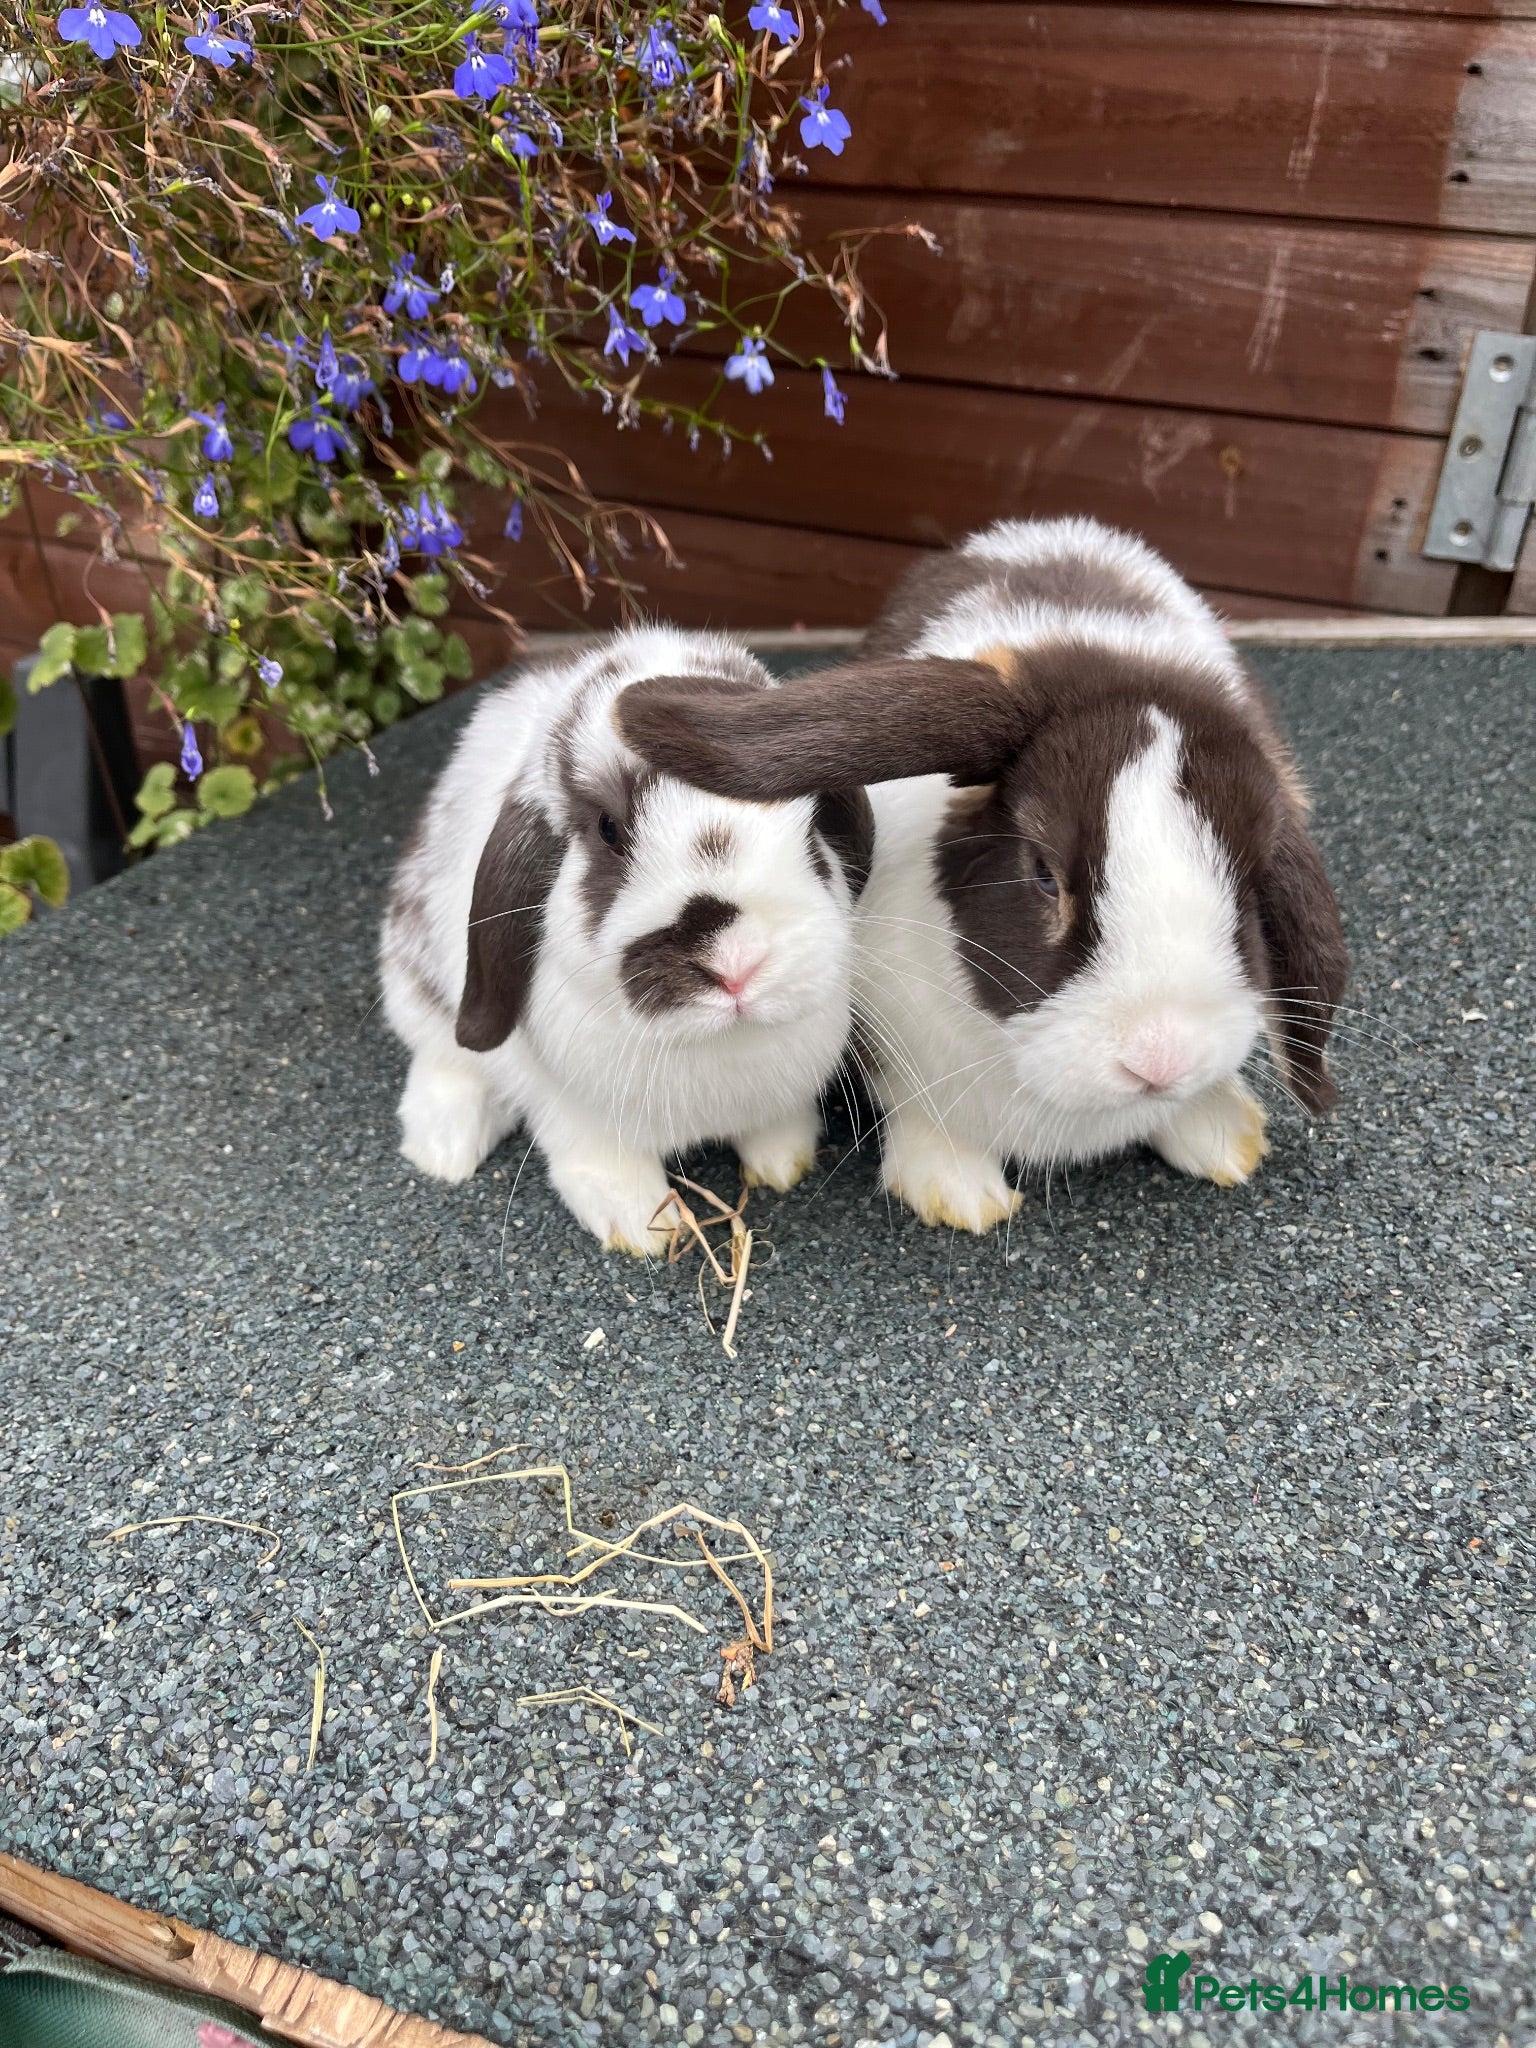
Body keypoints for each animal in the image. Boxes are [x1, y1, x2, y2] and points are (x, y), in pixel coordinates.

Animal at [379, 626, 872, 1253]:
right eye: (609, 830)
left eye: (811, 828)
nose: (736, 964)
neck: (712, 1045)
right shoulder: (580, 1119)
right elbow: (604, 1169)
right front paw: (642, 1226)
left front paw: (783, 1162)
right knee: (443, 1059)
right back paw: (442, 1148)